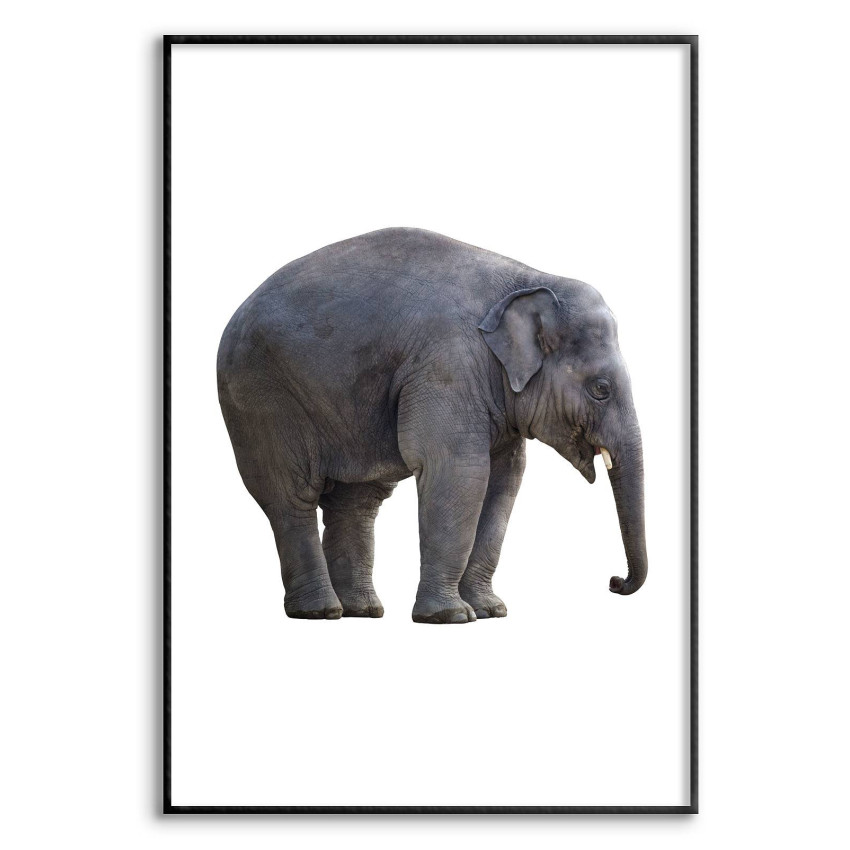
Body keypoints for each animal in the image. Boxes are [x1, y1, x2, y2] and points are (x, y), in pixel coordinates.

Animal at [217, 227, 647, 623]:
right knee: (291, 497)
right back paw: (320, 612)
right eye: (601, 389)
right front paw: (451, 617)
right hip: (261, 398)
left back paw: (362, 611)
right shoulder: (446, 365)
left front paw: (490, 611)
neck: (529, 279)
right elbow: (459, 471)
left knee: (358, 500)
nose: (614, 581)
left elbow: (504, 481)